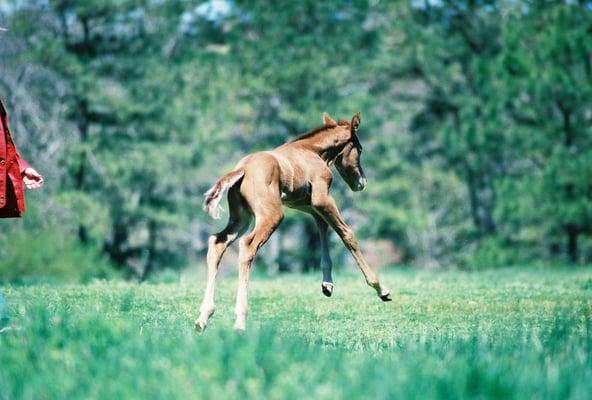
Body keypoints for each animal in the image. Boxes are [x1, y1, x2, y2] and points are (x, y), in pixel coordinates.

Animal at [197, 111, 394, 332]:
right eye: (359, 149)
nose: (361, 182)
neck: (313, 150)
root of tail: (242, 170)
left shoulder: (302, 202)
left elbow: (321, 225)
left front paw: (327, 285)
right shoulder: (321, 197)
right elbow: (347, 234)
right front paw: (382, 289)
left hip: (242, 217)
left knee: (217, 241)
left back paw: (203, 317)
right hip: (272, 214)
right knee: (247, 245)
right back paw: (239, 321)